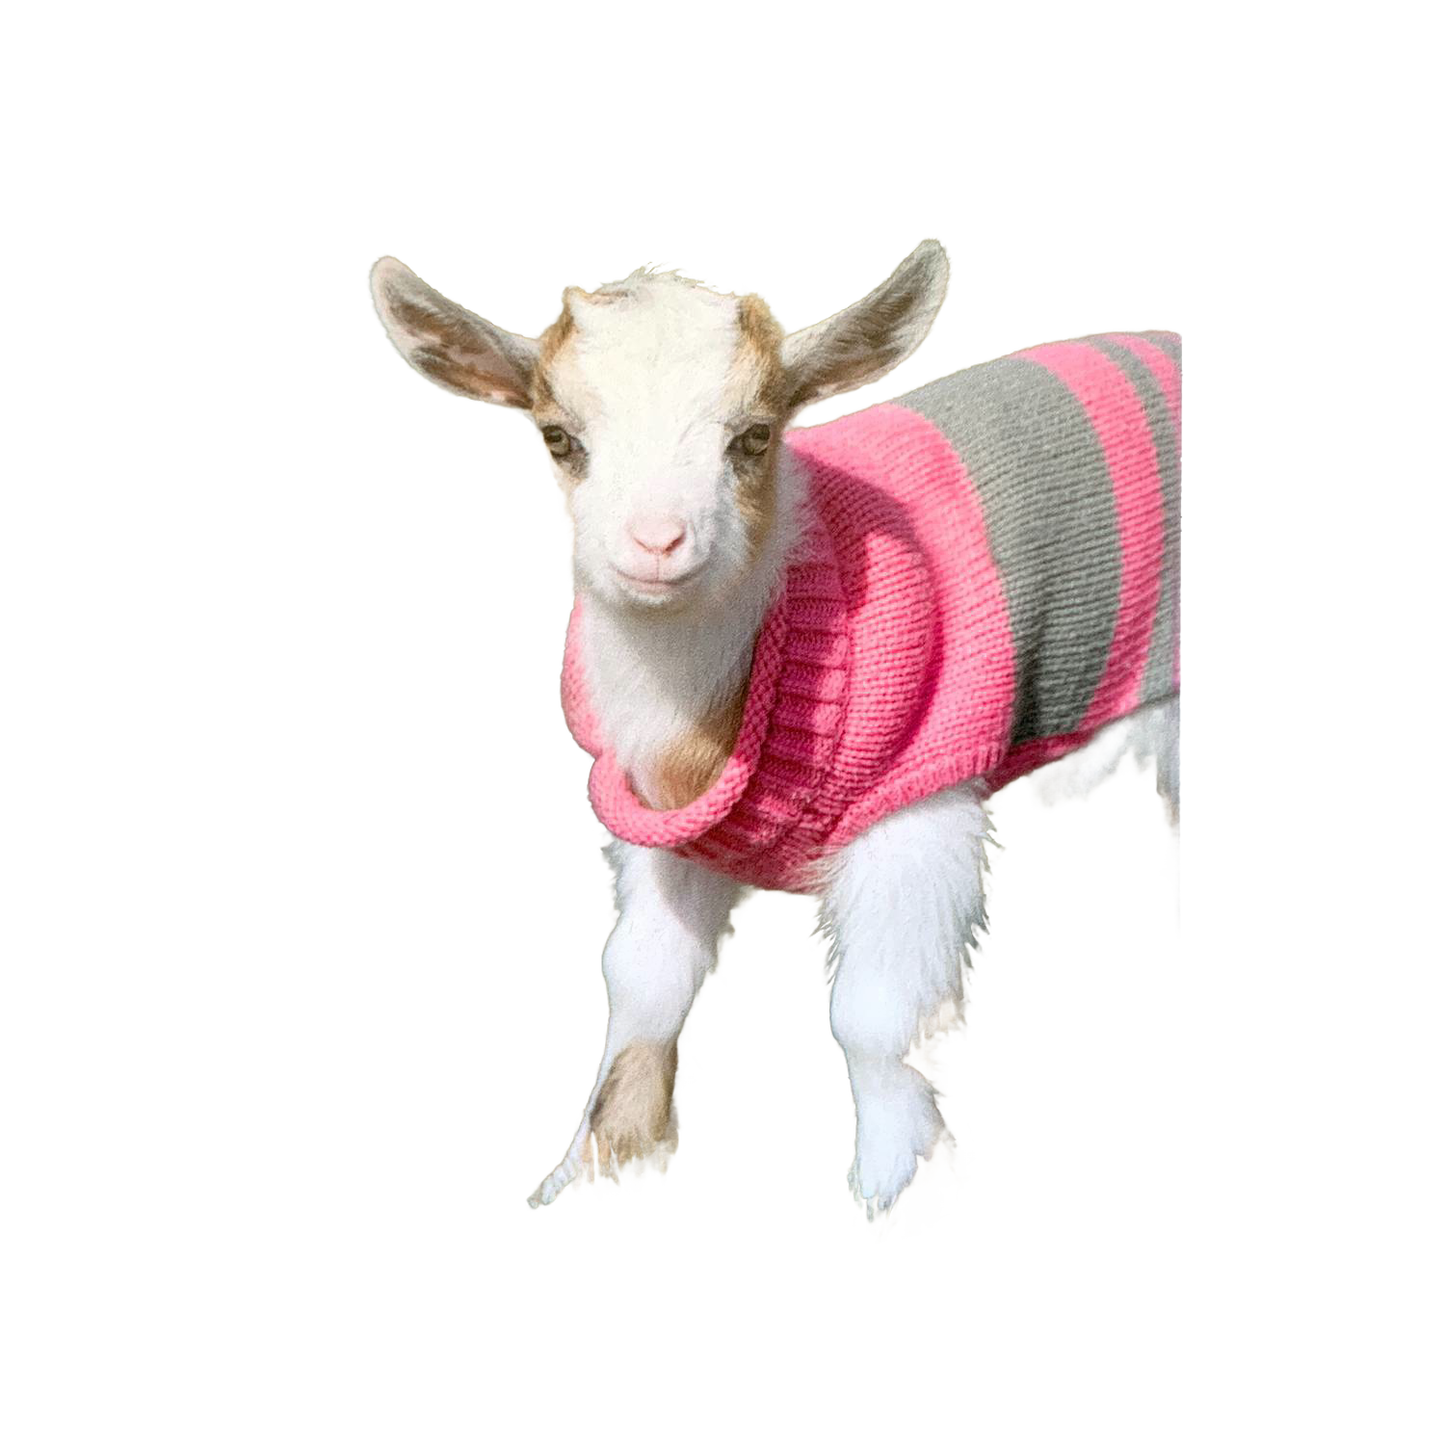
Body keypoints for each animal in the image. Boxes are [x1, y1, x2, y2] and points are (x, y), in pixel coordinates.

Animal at [362, 238, 1183, 1242]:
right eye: (561, 438)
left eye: (752, 437)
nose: (657, 542)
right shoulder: (671, 822)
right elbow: (642, 979)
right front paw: (596, 1164)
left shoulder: (916, 804)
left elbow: (878, 1013)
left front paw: (897, 1193)